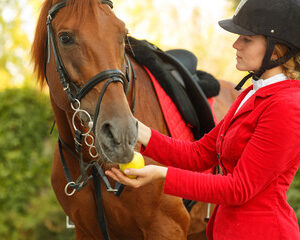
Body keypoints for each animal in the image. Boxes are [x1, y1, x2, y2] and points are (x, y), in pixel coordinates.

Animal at [30, 0, 237, 239]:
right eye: (65, 38)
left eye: (122, 34)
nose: (121, 134)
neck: (94, 166)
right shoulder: (86, 231)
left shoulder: (166, 227)